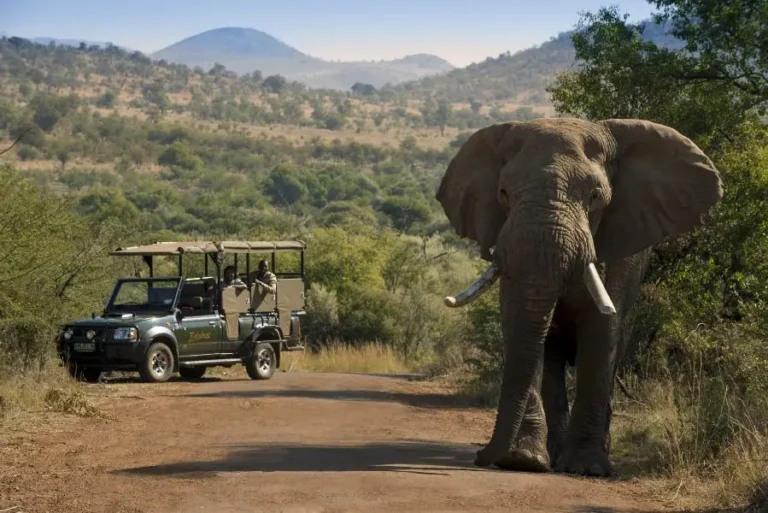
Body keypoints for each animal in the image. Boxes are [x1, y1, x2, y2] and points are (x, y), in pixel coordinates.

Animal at [436, 117, 723, 477]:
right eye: (503, 194)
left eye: (594, 196)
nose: (480, 456)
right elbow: (517, 322)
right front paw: (522, 460)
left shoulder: (619, 250)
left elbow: (602, 330)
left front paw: (586, 467)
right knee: (551, 359)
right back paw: (549, 455)